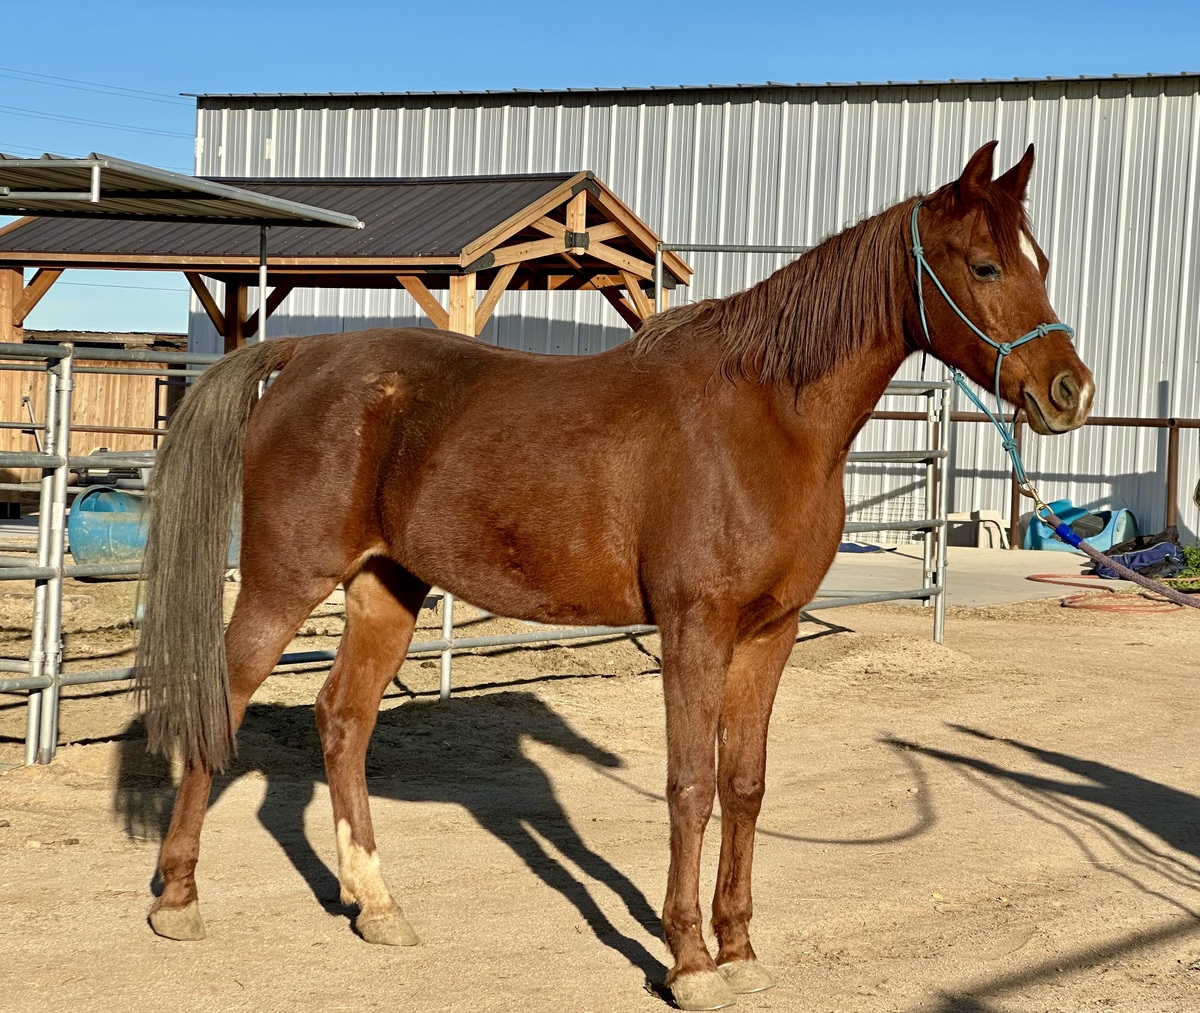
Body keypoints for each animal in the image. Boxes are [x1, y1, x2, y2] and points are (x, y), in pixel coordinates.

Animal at [135, 140, 1093, 1011]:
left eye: (1042, 262)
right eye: (984, 264)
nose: (1069, 390)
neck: (767, 420)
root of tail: (304, 357)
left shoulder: (771, 631)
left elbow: (745, 784)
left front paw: (741, 949)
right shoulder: (695, 626)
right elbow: (691, 786)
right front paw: (690, 962)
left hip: (386, 589)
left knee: (343, 721)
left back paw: (376, 906)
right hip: (282, 581)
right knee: (226, 699)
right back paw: (178, 898)